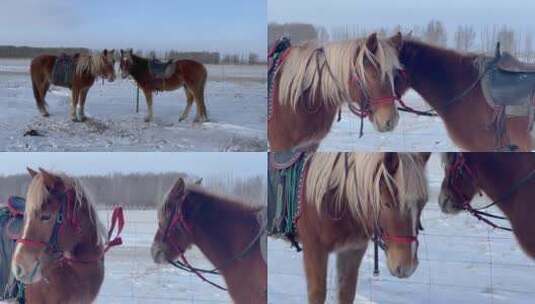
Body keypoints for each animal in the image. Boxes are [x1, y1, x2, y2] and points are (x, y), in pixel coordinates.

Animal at [296, 152, 430, 304]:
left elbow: (346, 293)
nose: (407, 267)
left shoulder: (351, 251)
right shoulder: (314, 251)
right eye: (387, 204)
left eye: (423, 204)